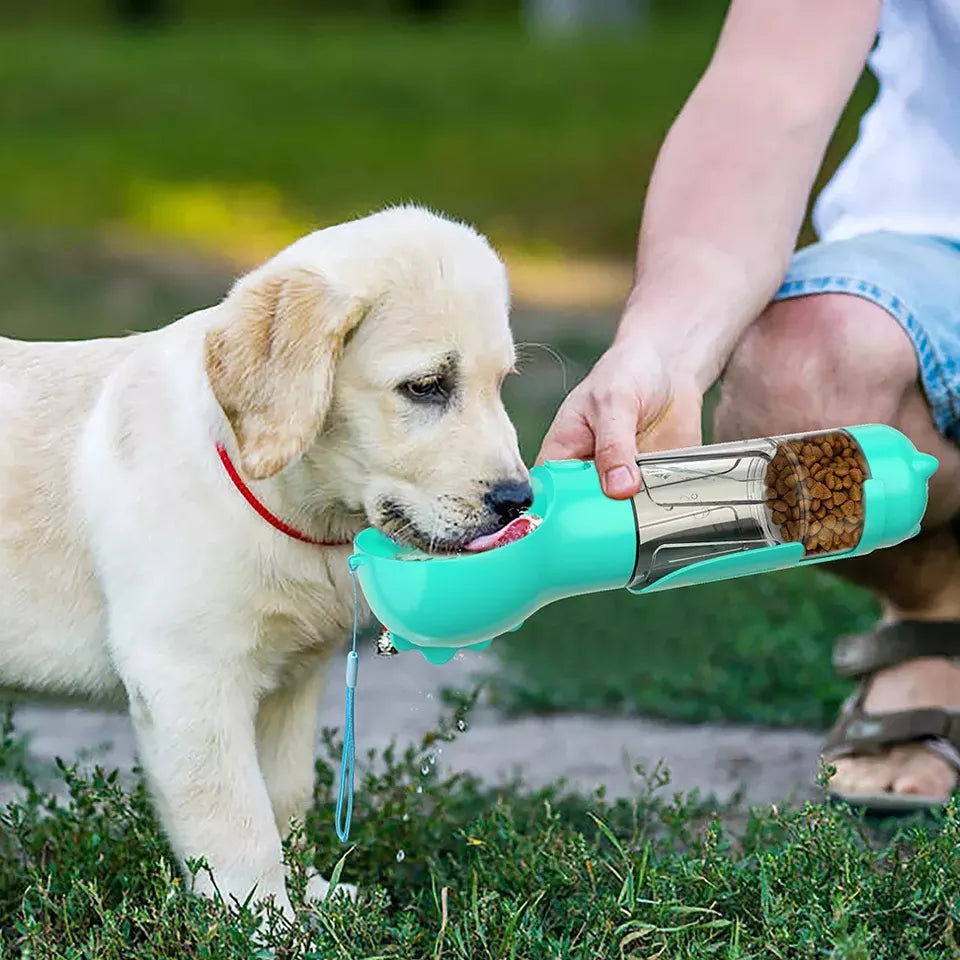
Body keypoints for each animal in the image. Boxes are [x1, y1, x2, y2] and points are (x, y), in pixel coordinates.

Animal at [0, 208, 528, 916]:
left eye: (501, 385)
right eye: (425, 387)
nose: (520, 500)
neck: (294, 509)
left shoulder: (291, 680)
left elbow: (284, 797)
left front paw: (311, 896)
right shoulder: (187, 677)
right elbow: (236, 818)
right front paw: (266, 920)